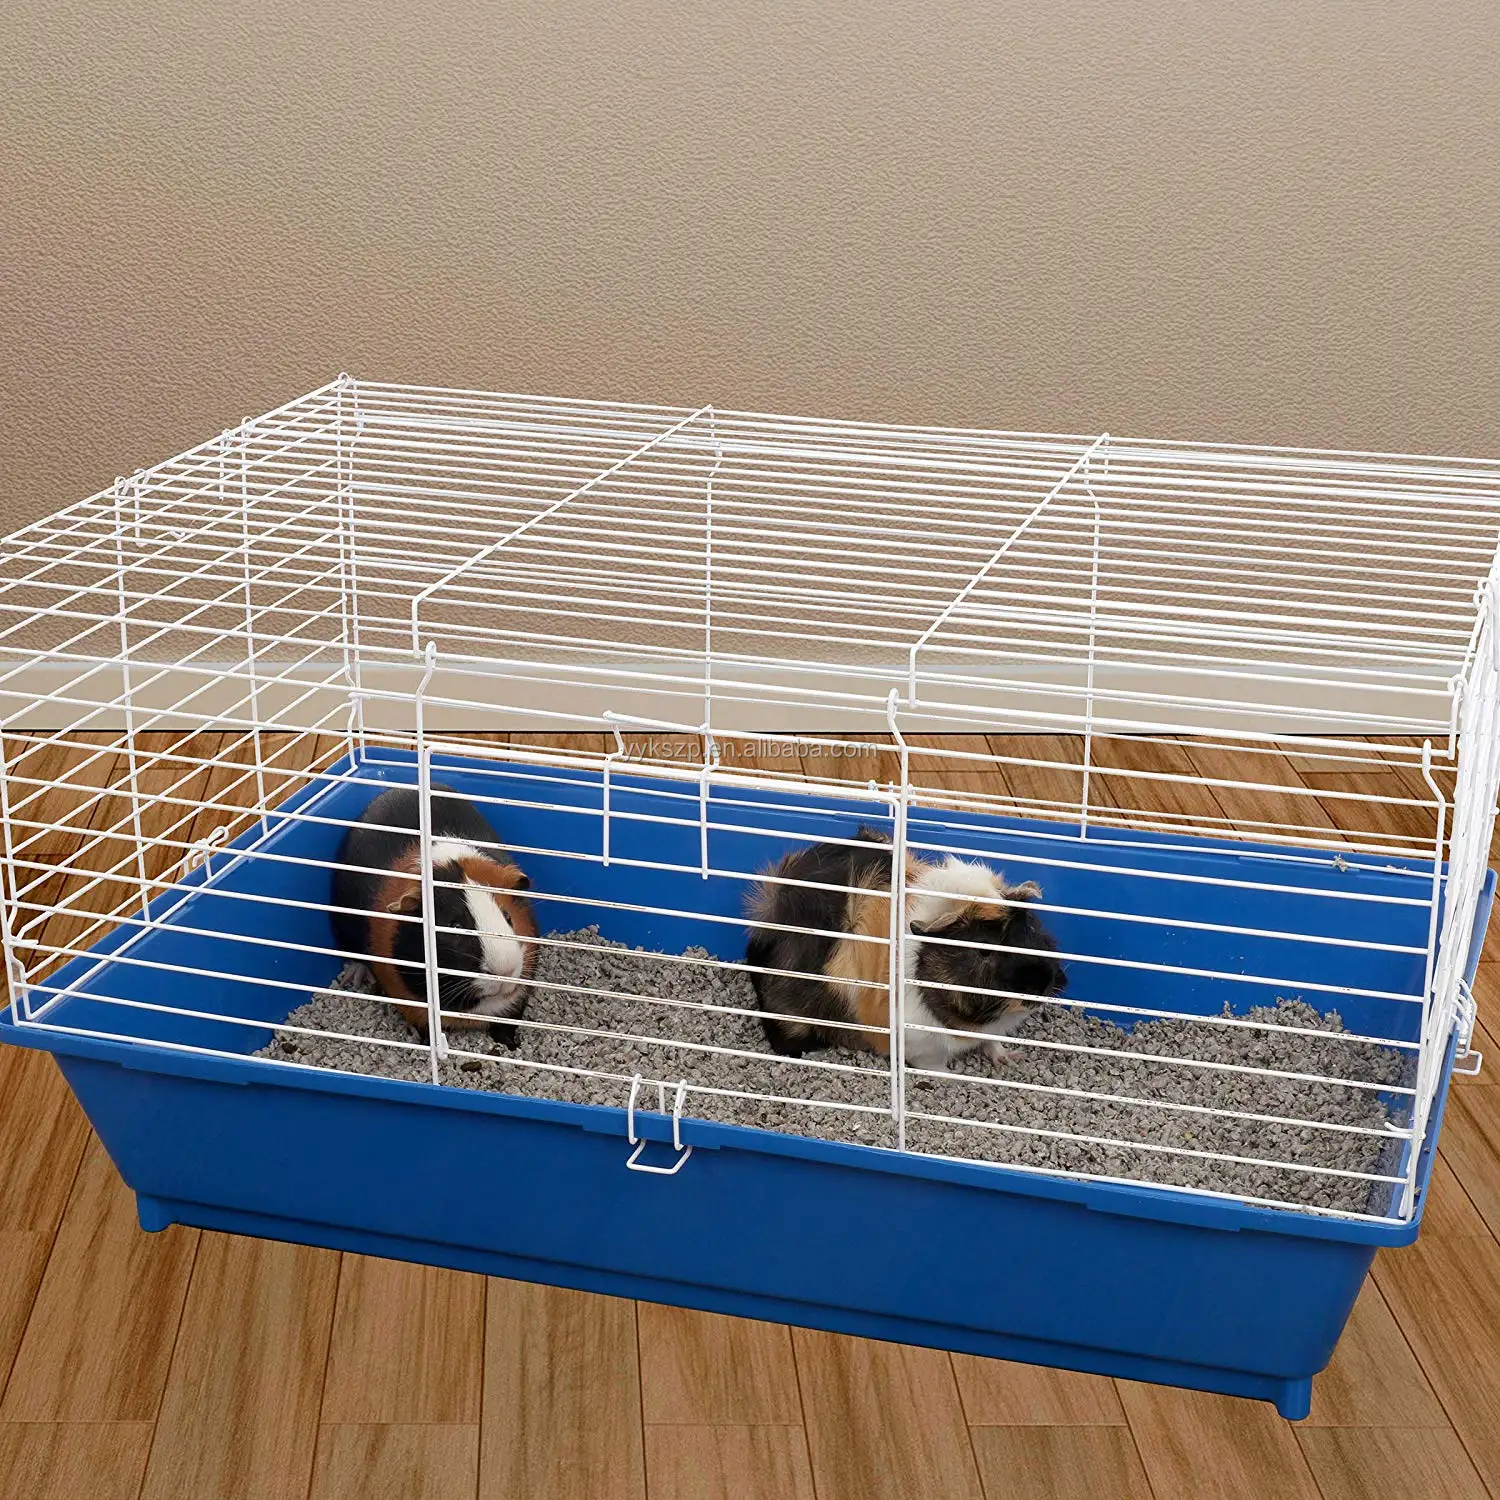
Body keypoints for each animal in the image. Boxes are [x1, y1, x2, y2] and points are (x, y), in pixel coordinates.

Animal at [331, 783, 538, 1046]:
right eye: (454, 926)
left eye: (508, 916)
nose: (505, 972)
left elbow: (506, 1027)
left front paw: (511, 1046)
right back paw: (354, 978)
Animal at [745, 827, 1064, 1070]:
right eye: (983, 951)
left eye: (1030, 929)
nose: (1041, 984)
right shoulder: (922, 1047)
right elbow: (935, 1065)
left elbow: (993, 1043)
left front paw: (1011, 1057)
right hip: (793, 1024)